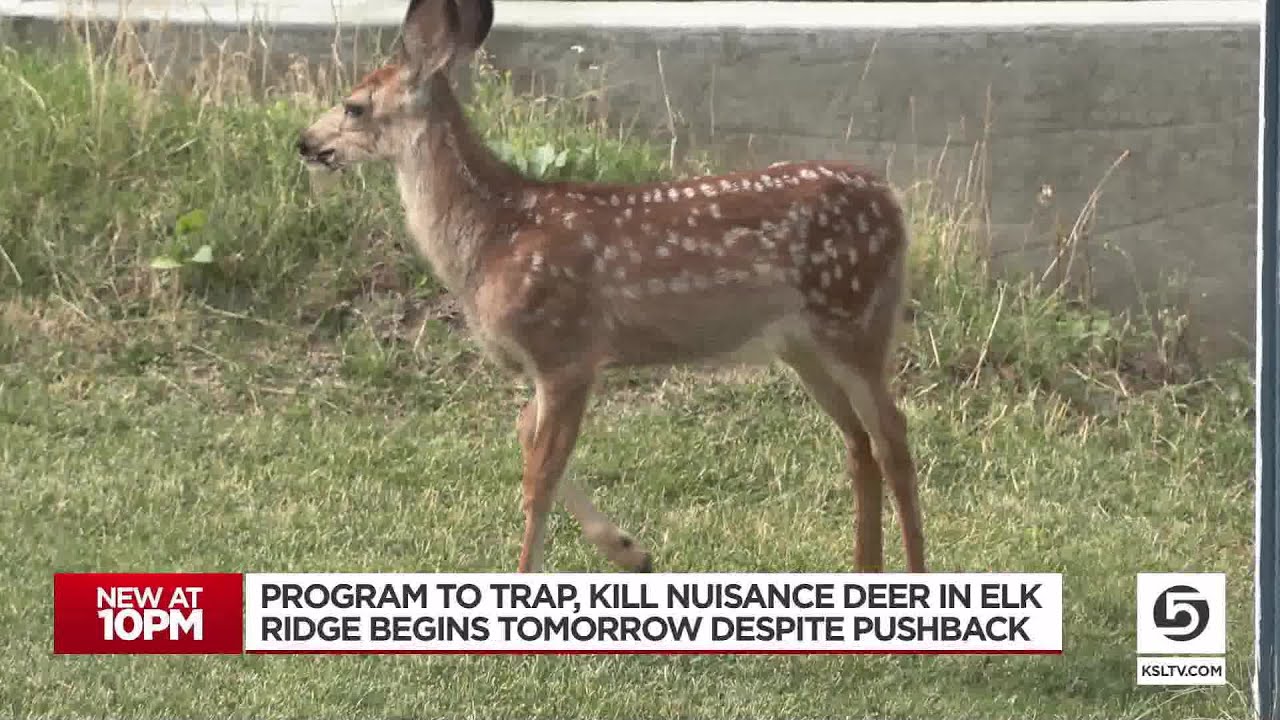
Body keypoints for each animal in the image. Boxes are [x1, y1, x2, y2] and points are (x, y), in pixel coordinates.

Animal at [296, 0, 926, 575]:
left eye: (354, 105)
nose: (303, 141)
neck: (496, 232)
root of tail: (894, 204)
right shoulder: (555, 362)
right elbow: (525, 434)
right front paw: (631, 551)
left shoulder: (566, 349)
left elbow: (539, 477)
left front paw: (535, 575)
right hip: (803, 343)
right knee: (858, 442)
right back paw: (864, 569)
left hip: (853, 317)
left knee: (893, 435)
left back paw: (913, 572)